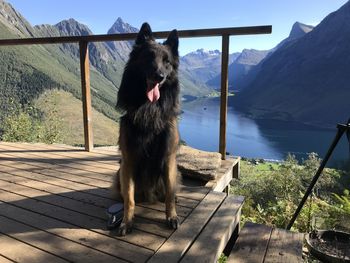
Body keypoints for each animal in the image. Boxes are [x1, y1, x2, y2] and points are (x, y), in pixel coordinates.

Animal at [114, 23, 180, 237]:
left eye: (167, 62)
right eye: (150, 58)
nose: (159, 76)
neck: (149, 109)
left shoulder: (168, 158)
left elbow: (169, 194)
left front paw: (171, 217)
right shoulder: (129, 161)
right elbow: (129, 198)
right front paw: (126, 222)